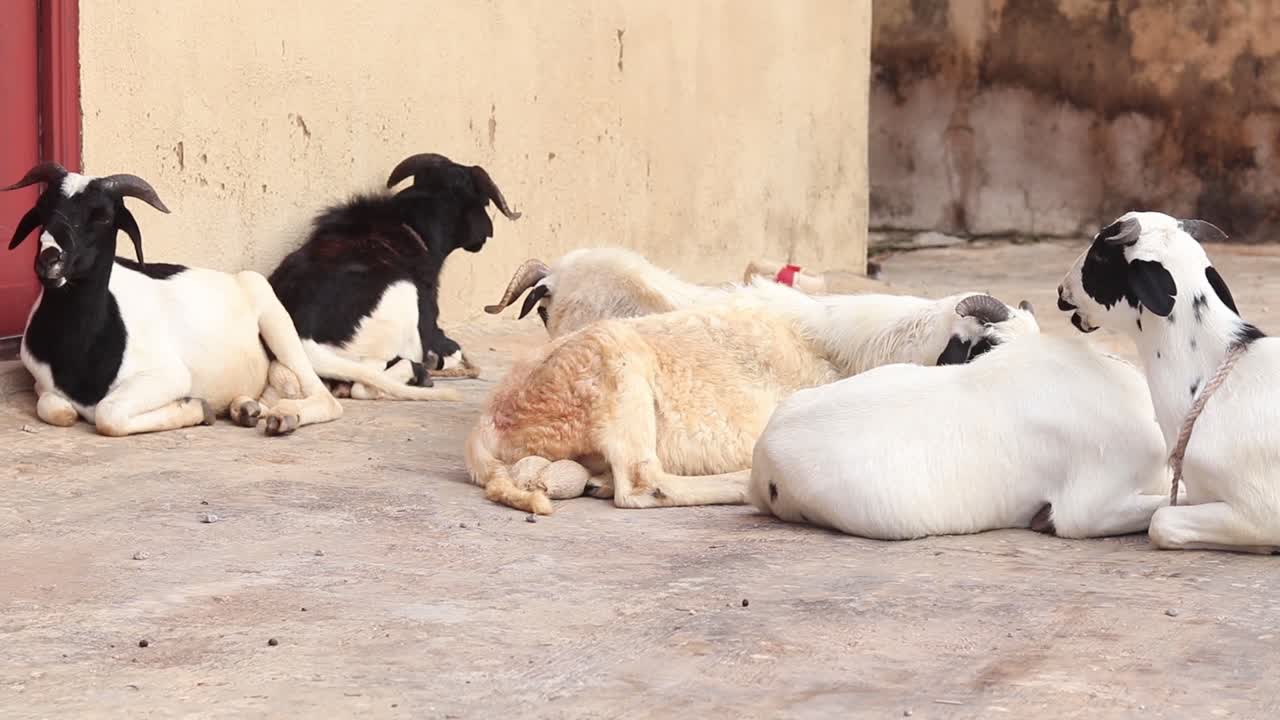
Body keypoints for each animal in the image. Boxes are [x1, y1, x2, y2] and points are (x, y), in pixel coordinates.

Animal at [2, 163, 342, 436]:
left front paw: (195, 408)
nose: (49, 258)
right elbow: (58, 410)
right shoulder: (42, 382)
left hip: (276, 319)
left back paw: (284, 416)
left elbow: (108, 416)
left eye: (103, 217)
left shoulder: (168, 376)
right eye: (43, 206)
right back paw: (245, 408)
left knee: (327, 399)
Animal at [268, 153, 520, 400]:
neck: (410, 226)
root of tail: (303, 341)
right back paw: (418, 374)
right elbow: (450, 349)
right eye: (484, 201)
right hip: (401, 300)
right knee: (364, 385)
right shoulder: (427, 327)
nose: (489, 231)